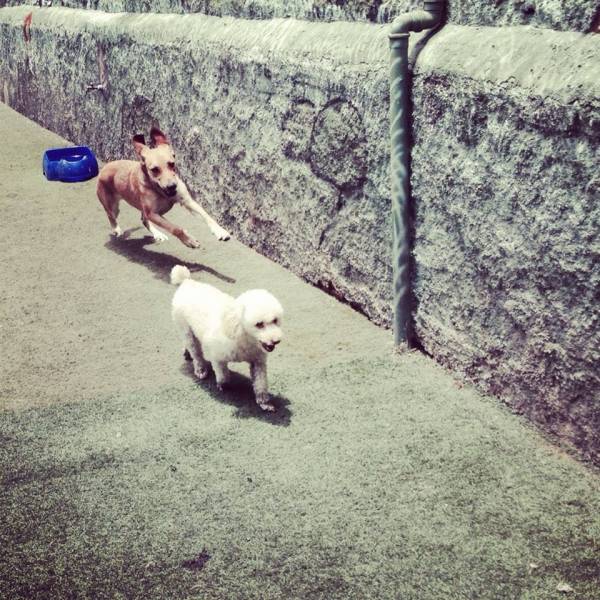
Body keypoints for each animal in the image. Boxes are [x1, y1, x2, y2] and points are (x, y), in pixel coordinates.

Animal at [96, 127, 230, 247]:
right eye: (154, 169)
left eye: (172, 164)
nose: (172, 186)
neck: (160, 190)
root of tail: (105, 168)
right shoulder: (153, 214)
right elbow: (175, 228)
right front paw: (189, 240)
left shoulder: (187, 202)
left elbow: (206, 216)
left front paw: (220, 231)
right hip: (112, 205)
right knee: (111, 215)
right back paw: (117, 229)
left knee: (144, 220)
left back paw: (157, 234)